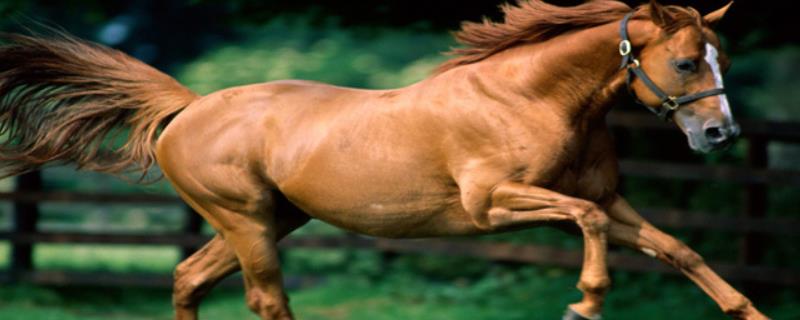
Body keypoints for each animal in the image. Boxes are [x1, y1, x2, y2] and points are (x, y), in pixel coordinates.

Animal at [0, 0, 768, 320]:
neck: (530, 97)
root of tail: (189, 107)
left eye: (724, 60)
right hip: (245, 221)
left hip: (272, 221)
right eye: (686, 61)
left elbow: (678, 250)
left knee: (189, 279)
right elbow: (587, 222)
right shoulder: (492, 205)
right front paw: (585, 302)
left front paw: (748, 312)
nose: (720, 134)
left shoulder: (612, 199)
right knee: (265, 297)